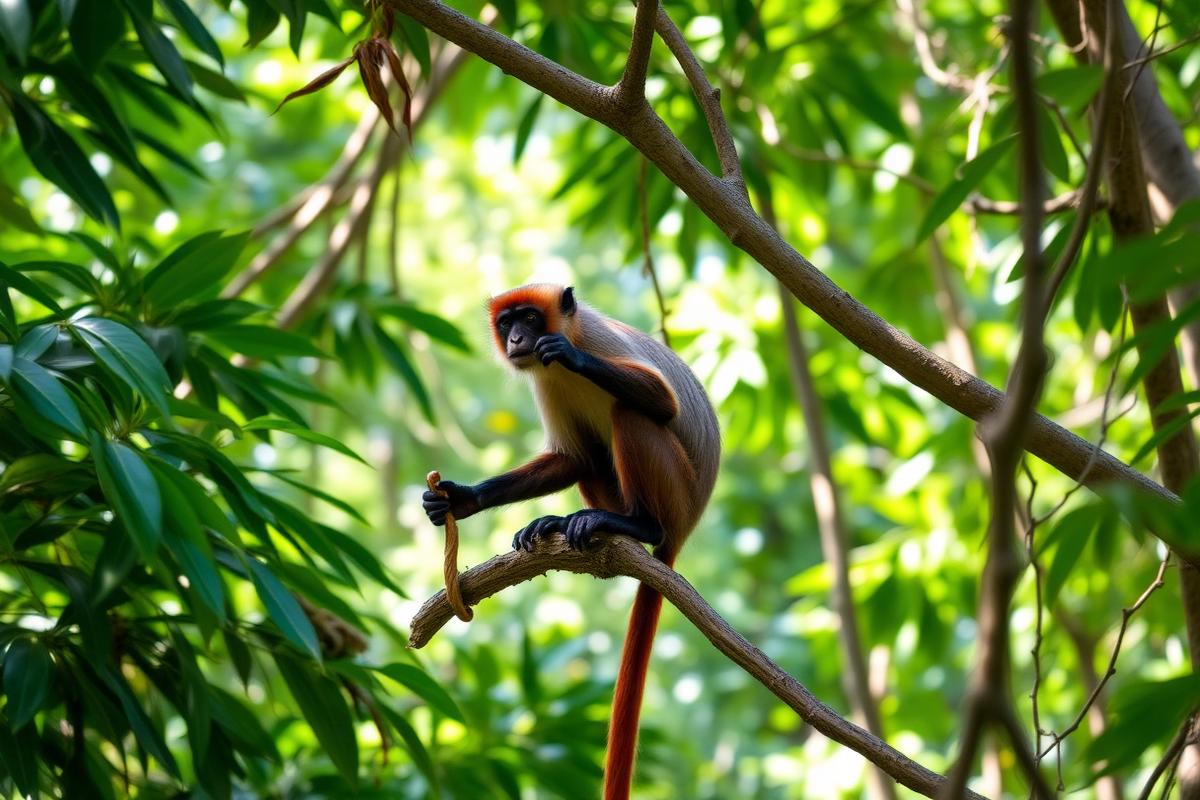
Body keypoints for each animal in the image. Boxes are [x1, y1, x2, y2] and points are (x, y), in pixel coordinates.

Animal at [422, 283, 719, 800]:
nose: (517, 339)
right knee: (591, 454)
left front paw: (571, 355)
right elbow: (571, 459)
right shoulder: (544, 382)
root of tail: (685, 527)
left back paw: (638, 527)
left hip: (676, 494)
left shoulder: (600, 341)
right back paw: (570, 523)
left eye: (529, 319)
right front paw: (462, 499)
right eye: (506, 323)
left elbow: (664, 405)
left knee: (631, 412)